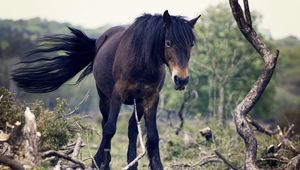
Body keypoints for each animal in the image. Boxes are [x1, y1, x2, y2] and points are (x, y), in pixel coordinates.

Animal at [12, 10, 199, 169]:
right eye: (168, 42)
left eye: (191, 44)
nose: (181, 79)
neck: (141, 62)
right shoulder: (117, 95)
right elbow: (110, 129)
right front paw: (97, 162)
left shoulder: (151, 98)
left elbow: (152, 135)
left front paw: (156, 165)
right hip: (104, 98)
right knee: (105, 124)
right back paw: (106, 162)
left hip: (137, 103)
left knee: (132, 129)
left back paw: (132, 163)